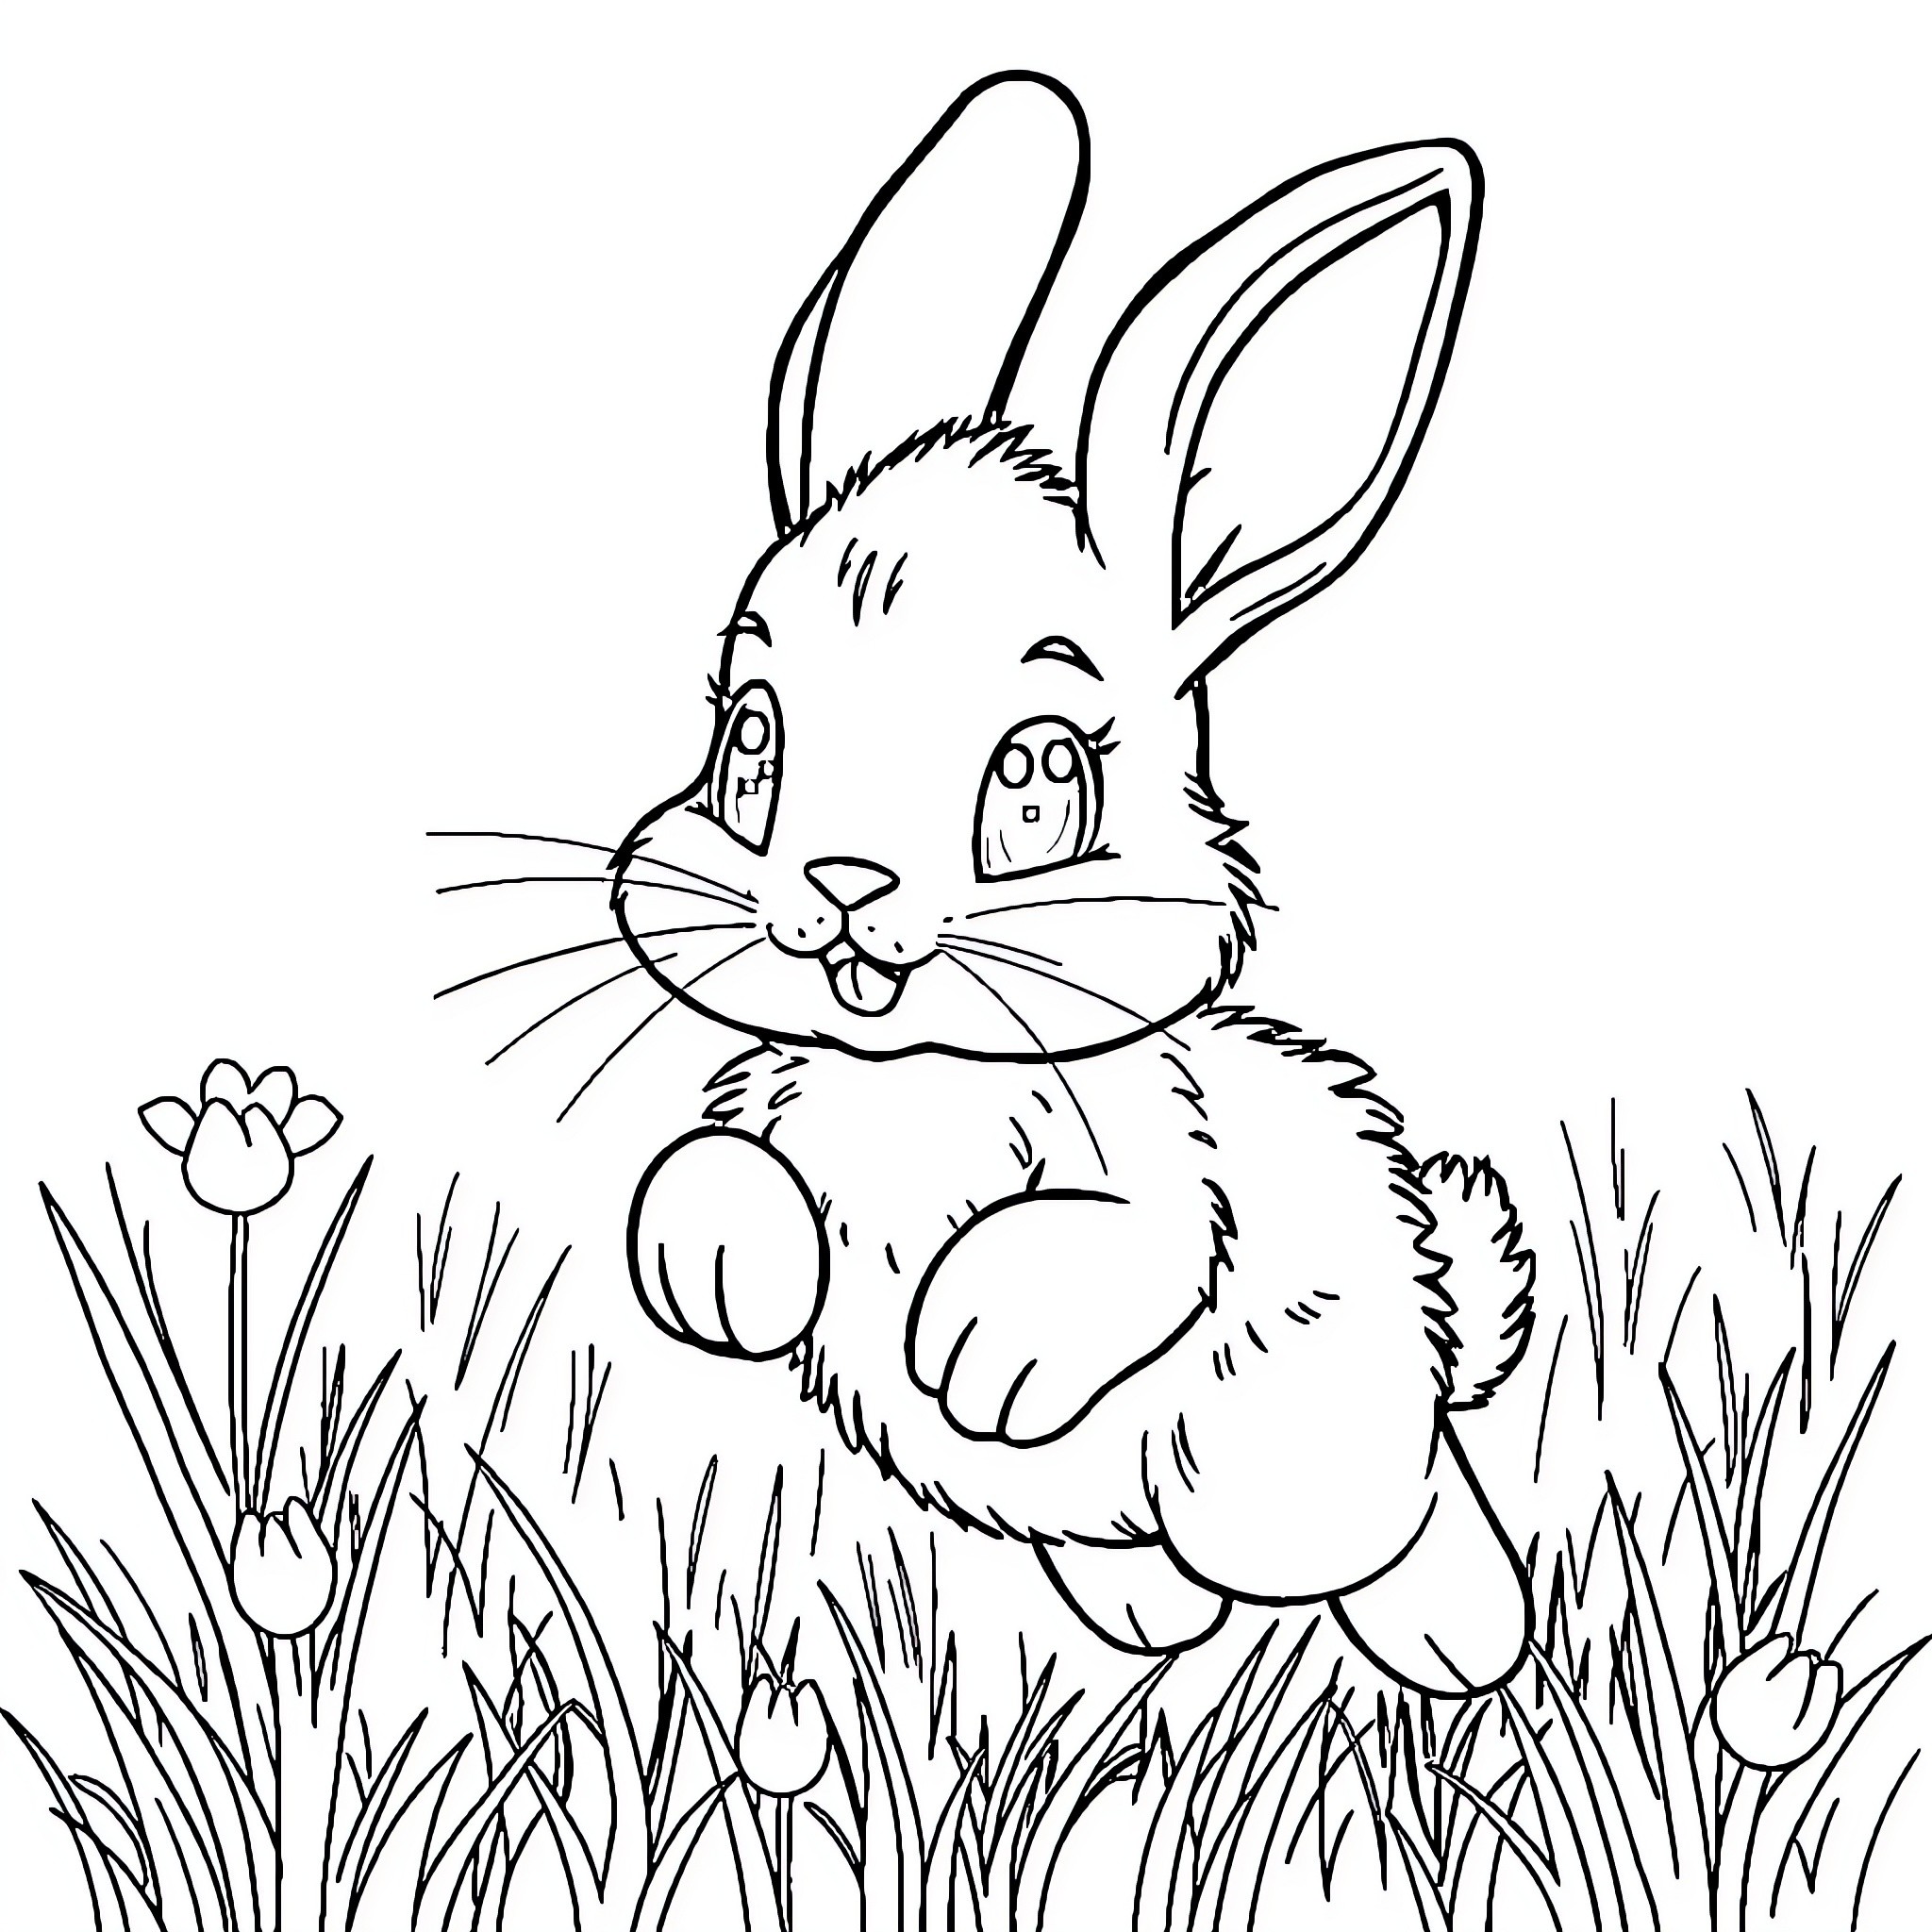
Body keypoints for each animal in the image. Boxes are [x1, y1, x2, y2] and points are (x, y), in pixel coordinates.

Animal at [615, 72, 1536, 1694]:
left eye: (1040, 777)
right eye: (750, 744)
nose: (841, 888)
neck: (915, 1085)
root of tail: (1439, 1327)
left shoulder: (1170, 1169)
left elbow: (1132, 1250)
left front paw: (983, 1346)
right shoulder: (779, 1106)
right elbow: (714, 1169)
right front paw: (715, 1268)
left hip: (1303, 1464)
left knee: (1402, 1519)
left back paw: (1463, 1644)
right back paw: (1152, 1620)